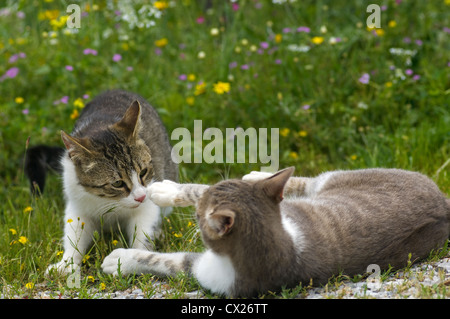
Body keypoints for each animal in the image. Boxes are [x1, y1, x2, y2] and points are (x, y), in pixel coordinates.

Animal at [24, 90, 176, 276]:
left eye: (143, 172)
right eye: (117, 183)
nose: (140, 197)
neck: (108, 201)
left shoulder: (146, 205)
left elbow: (143, 231)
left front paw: (135, 259)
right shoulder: (77, 204)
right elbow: (75, 234)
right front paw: (66, 263)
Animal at [102, 168, 450, 298]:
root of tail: (445, 202)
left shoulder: (212, 272)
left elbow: (165, 260)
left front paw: (119, 259)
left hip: (337, 179)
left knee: (310, 182)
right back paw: (259, 175)